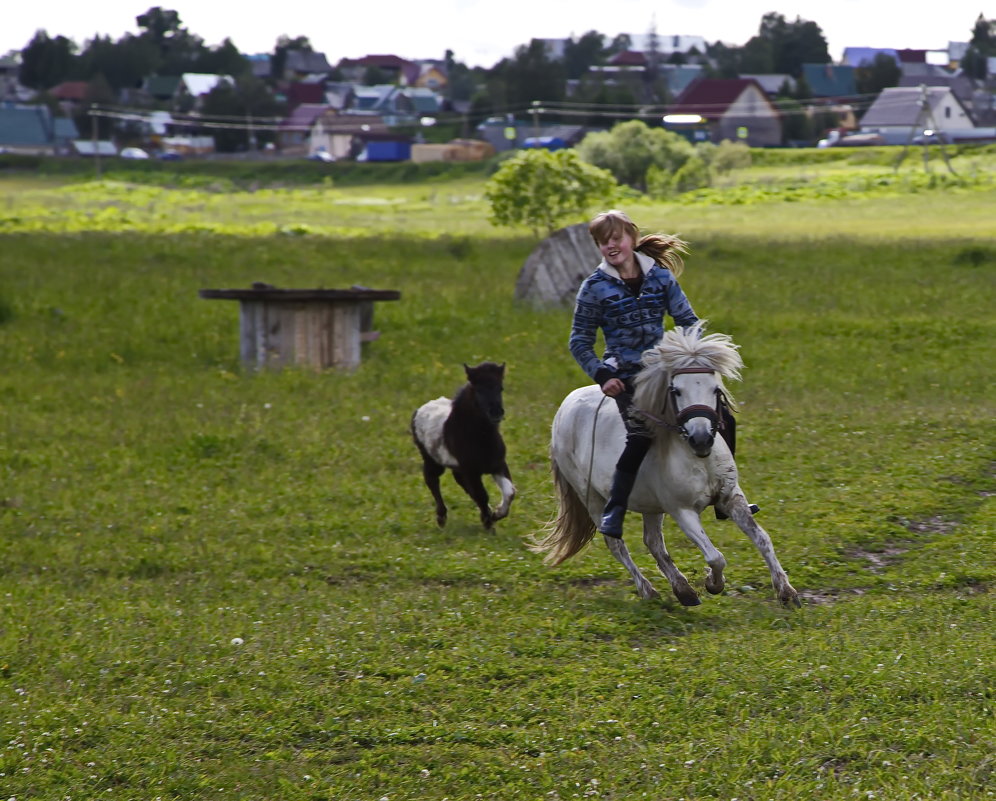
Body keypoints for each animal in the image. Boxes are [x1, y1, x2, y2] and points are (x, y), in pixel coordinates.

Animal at [532, 324, 796, 608]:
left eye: (716, 389)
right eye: (676, 391)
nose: (701, 438)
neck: (698, 459)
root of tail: (564, 409)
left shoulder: (731, 497)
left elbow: (762, 539)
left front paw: (786, 592)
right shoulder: (682, 511)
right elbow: (715, 557)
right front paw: (713, 584)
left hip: (650, 505)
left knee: (653, 542)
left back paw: (683, 590)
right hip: (591, 497)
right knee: (615, 543)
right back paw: (649, 590)